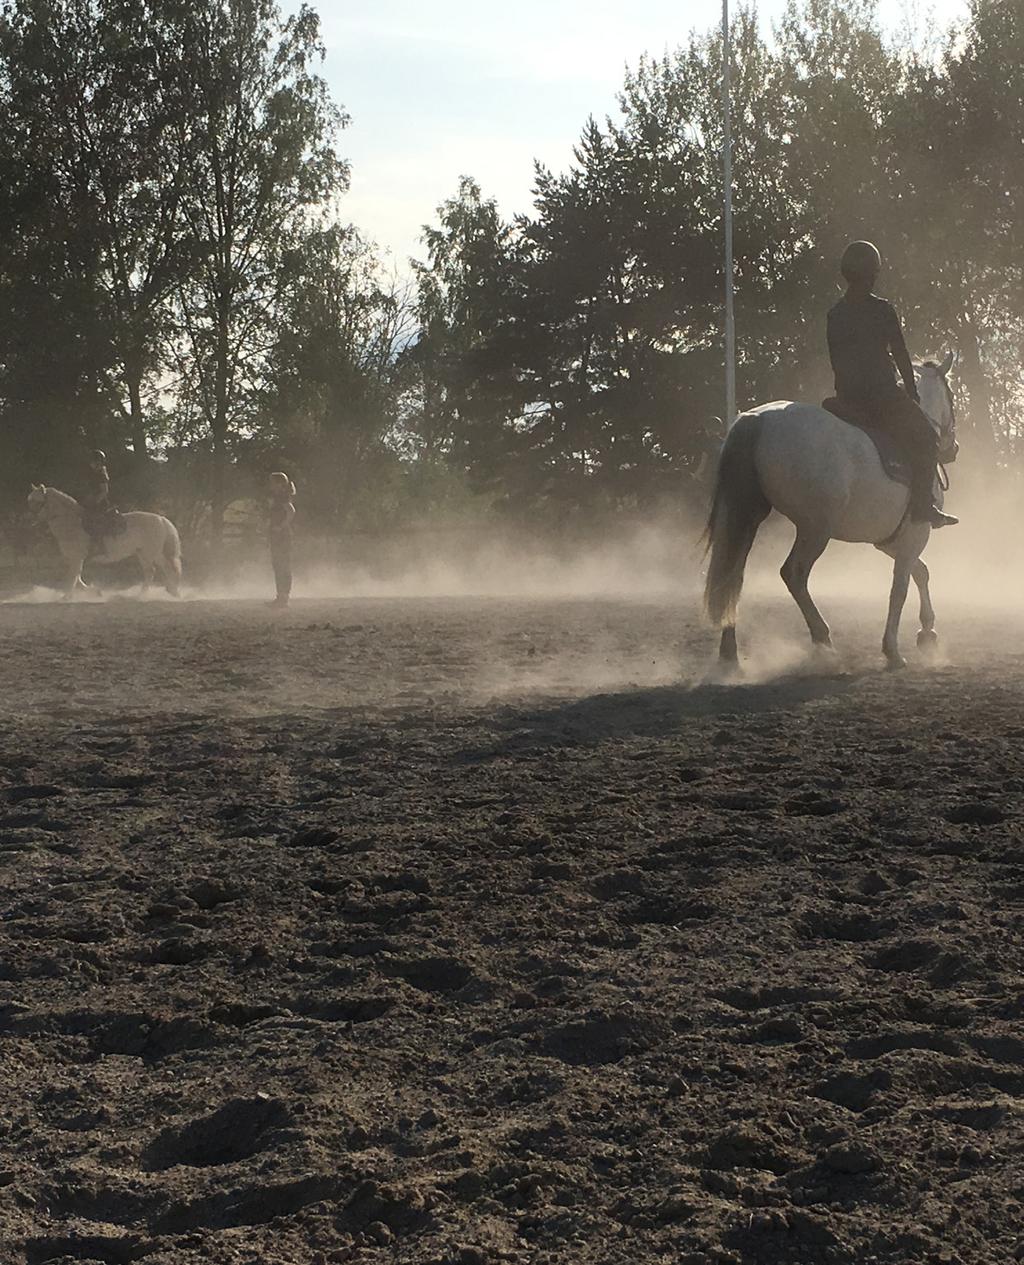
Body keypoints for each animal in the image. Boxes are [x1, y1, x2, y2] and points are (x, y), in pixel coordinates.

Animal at [26, 485, 182, 599]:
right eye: (30, 500)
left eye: (38, 501)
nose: (29, 519)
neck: (71, 524)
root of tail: (161, 519)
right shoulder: (75, 558)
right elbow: (78, 577)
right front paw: (95, 592)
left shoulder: (76, 557)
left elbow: (73, 576)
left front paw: (66, 596)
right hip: (145, 554)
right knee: (157, 570)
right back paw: (165, 591)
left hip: (150, 553)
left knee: (159, 569)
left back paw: (154, 594)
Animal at [703, 354, 956, 672]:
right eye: (952, 396)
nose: (953, 447)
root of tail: (758, 419)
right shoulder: (915, 535)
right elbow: (900, 589)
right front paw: (893, 650)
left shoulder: (888, 541)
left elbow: (921, 572)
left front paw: (928, 632)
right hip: (815, 529)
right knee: (794, 574)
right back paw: (823, 640)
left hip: (747, 517)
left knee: (732, 575)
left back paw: (730, 654)